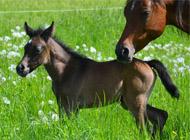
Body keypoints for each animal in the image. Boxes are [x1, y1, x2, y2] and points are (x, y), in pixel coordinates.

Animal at [16, 22, 180, 136]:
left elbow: (68, 126)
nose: (20, 68)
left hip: (136, 102)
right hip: (130, 102)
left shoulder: (70, 105)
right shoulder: (63, 104)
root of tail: (147, 63)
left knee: (145, 128)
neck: (66, 70)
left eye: (38, 49)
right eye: (25, 47)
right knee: (161, 116)